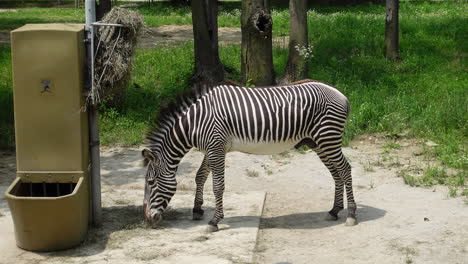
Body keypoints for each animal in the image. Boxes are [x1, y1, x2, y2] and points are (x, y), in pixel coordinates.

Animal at [141, 79, 356, 232]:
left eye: (150, 182)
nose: (148, 219)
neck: (195, 122)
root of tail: (341, 94)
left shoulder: (216, 148)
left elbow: (217, 186)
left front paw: (214, 221)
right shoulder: (212, 148)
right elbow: (200, 176)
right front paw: (197, 209)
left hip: (328, 138)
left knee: (345, 169)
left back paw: (351, 215)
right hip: (319, 143)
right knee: (336, 173)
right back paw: (334, 211)